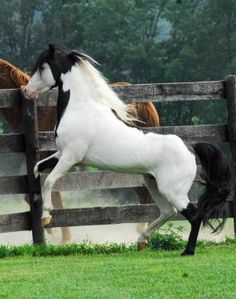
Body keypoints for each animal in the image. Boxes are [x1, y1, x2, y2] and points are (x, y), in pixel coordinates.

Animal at [21, 44, 231, 255]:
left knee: (194, 216)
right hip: (152, 183)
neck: (80, 109)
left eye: (42, 67)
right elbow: (37, 168)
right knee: (167, 212)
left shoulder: (71, 157)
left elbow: (49, 180)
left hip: (173, 191)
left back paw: (187, 251)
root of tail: (189, 150)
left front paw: (46, 218)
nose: (26, 91)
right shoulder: (61, 153)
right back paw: (141, 241)